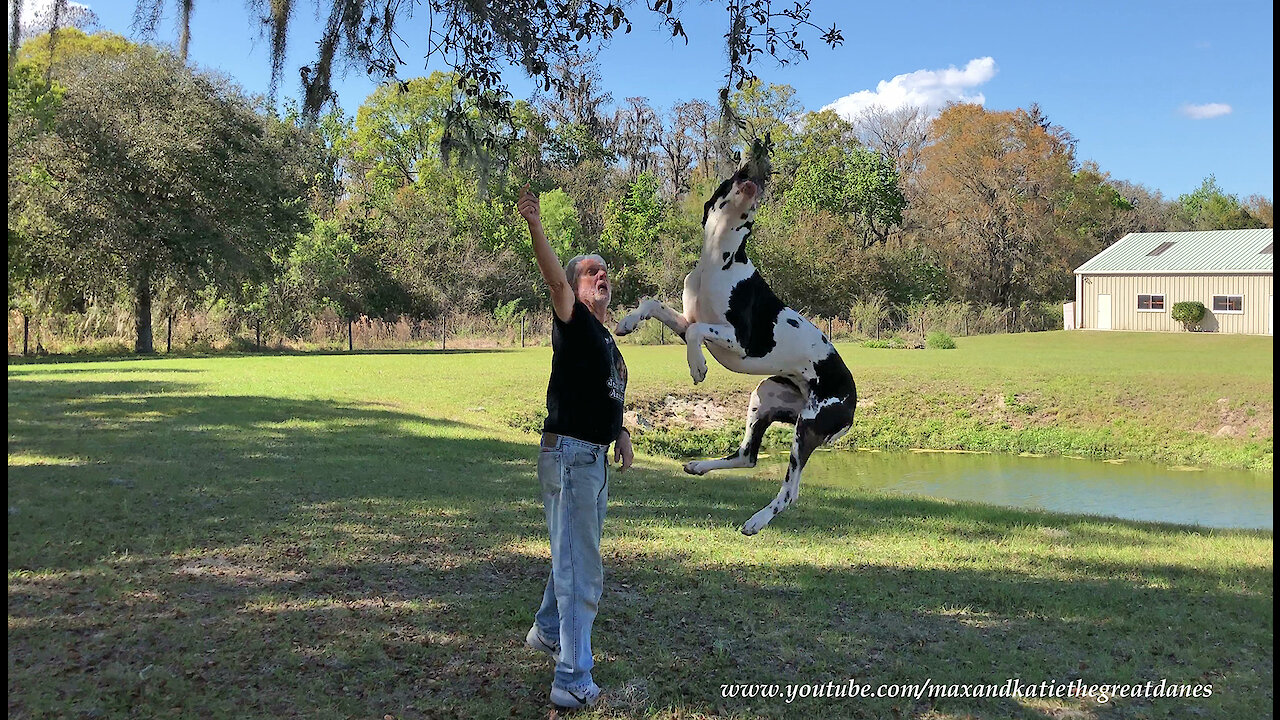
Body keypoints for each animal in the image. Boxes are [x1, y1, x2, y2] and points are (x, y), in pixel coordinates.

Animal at [614, 139, 855, 532]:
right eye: (730, 179)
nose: (751, 169)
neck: (718, 261)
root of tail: (852, 402)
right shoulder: (685, 321)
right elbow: (656, 305)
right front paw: (627, 322)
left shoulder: (741, 340)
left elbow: (698, 333)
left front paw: (697, 367)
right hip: (764, 398)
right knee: (747, 456)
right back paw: (700, 465)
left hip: (807, 427)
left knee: (790, 491)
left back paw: (757, 520)